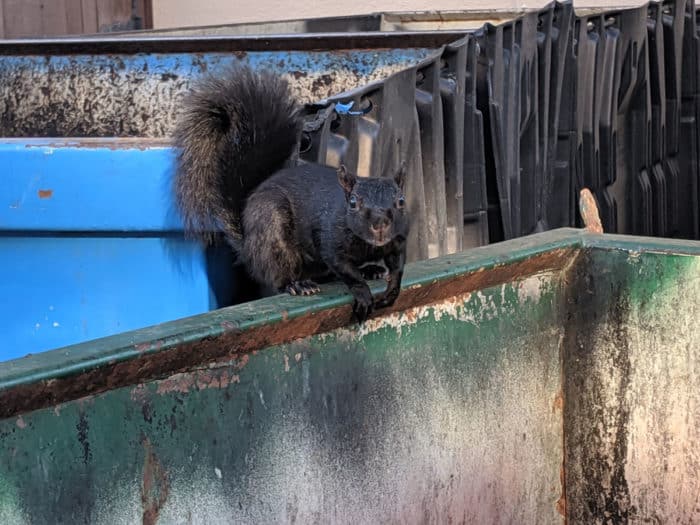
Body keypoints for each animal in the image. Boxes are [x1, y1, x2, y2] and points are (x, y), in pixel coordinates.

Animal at [173, 64, 410, 322]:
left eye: (401, 201)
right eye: (354, 203)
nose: (380, 224)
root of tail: (249, 247)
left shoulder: (398, 240)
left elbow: (397, 266)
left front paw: (391, 289)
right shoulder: (330, 242)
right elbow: (346, 270)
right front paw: (363, 294)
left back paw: (370, 269)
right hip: (273, 229)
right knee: (279, 276)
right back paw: (298, 285)